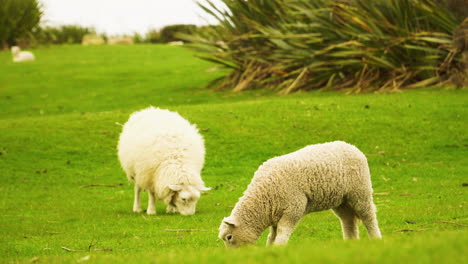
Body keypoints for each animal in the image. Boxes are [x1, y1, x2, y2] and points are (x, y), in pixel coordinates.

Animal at [218, 141, 382, 246]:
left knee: (368, 217)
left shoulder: (293, 209)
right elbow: (272, 235)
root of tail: (352, 146)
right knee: (348, 220)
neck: (264, 197)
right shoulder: (276, 214)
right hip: (341, 200)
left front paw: (279, 248)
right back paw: (350, 243)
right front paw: (270, 248)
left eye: (229, 237)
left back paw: (376, 239)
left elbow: (282, 233)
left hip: (360, 192)